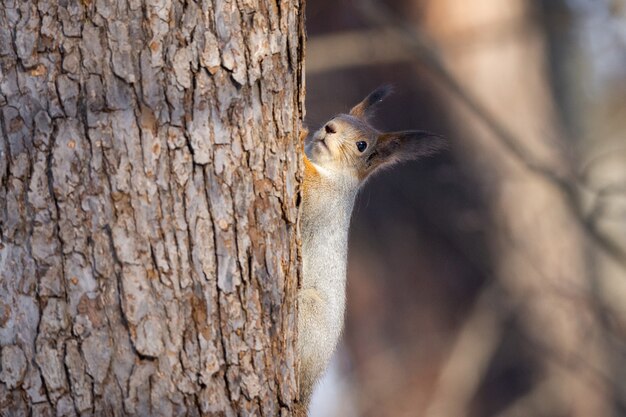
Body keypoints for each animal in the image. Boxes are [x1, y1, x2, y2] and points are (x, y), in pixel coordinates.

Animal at [294, 85, 446, 412]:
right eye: (337, 115)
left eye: (361, 145)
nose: (329, 128)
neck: (331, 171)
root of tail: (309, 383)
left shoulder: (325, 201)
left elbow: (309, 191)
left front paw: (298, 139)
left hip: (309, 312)